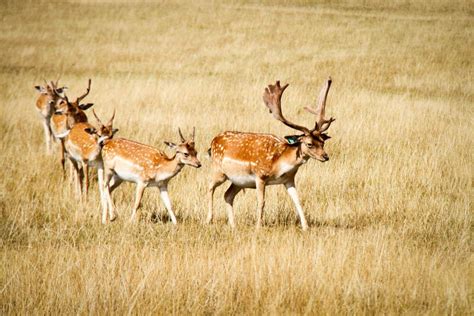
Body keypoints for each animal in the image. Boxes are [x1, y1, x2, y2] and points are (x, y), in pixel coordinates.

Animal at [206, 76, 334, 230]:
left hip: (238, 181)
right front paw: (258, 227)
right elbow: (262, 202)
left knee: (227, 195)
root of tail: (213, 141)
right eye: (309, 144)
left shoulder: (289, 179)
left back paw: (233, 226)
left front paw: (305, 227)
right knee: (209, 187)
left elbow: (297, 200)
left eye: (322, 142)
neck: (279, 163)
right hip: (219, 170)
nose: (325, 156)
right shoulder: (260, 176)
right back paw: (209, 219)